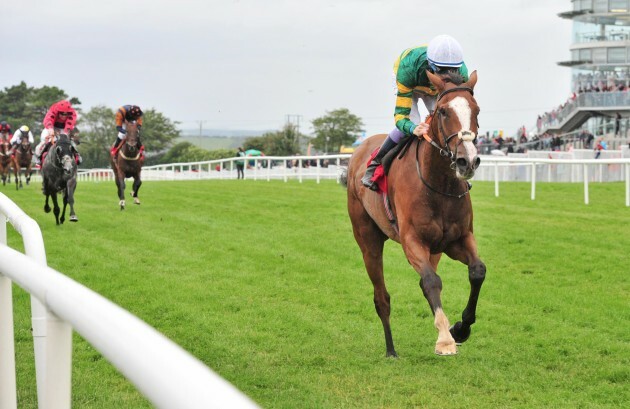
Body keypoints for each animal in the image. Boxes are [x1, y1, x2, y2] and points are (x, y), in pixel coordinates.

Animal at [346, 71, 484, 356]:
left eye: (476, 110)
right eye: (443, 111)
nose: (467, 161)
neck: (440, 184)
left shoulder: (458, 239)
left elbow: (477, 271)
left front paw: (460, 329)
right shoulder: (412, 241)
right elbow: (431, 281)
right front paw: (444, 339)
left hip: (436, 249)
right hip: (368, 240)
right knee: (382, 297)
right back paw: (391, 350)